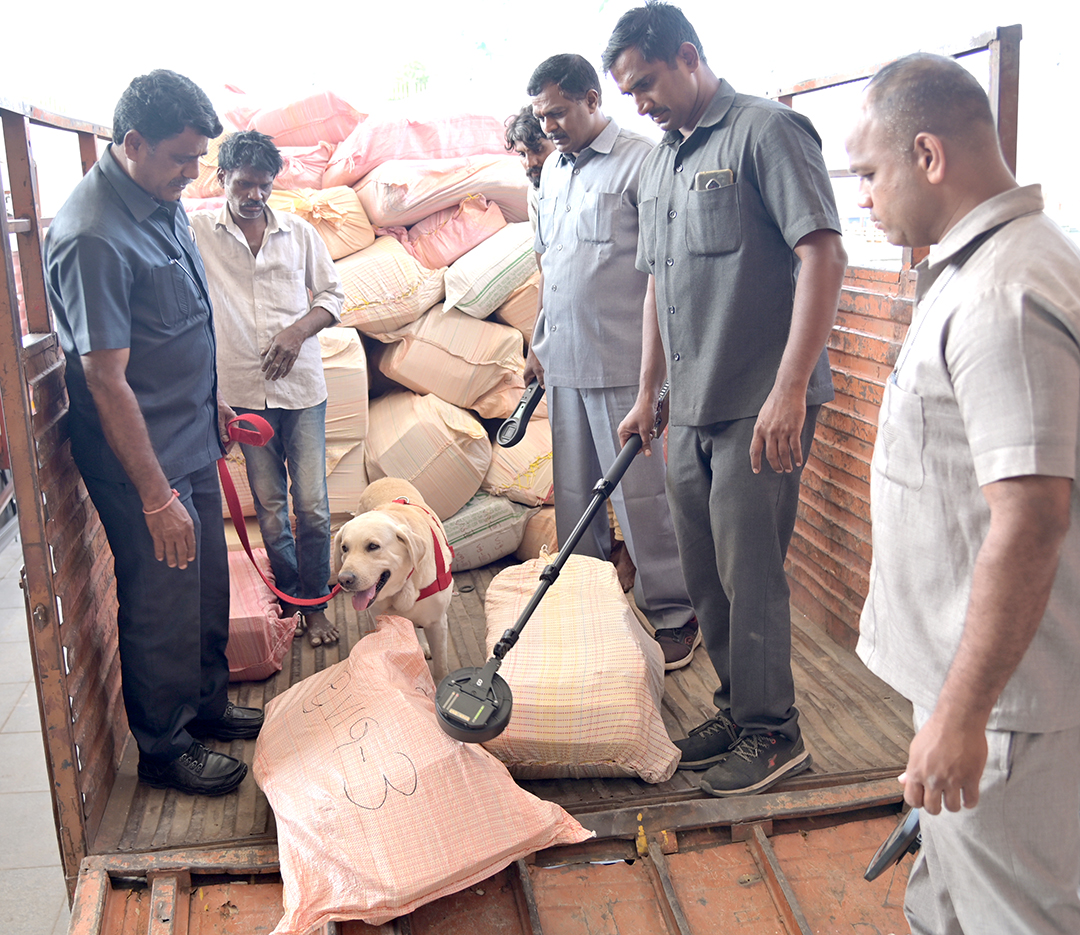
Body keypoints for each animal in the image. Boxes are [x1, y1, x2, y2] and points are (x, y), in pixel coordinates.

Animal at [336, 481, 455, 678]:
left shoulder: (437, 623)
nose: (344, 580)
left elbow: (441, 668)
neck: (403, 586)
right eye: (345, 548)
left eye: (373, 546)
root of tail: (383, 479)